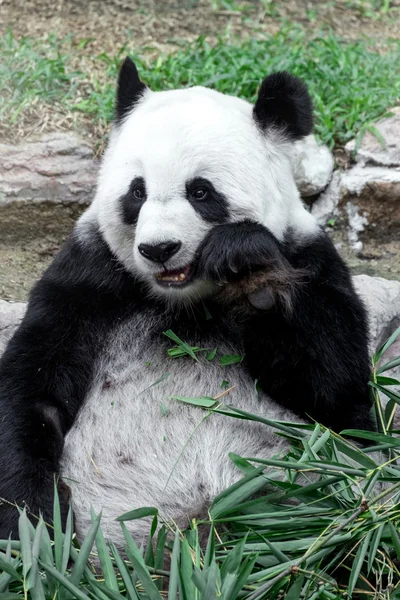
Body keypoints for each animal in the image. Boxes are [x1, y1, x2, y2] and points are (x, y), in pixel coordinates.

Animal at [0, 59, 372, 544]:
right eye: (136, 192)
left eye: (201, 191)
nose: (159, 249)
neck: (182, 300)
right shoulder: (89, 276)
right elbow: (33, 390)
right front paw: (31, 527)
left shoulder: (307, 256)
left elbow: (340, 393)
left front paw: (248, 269)